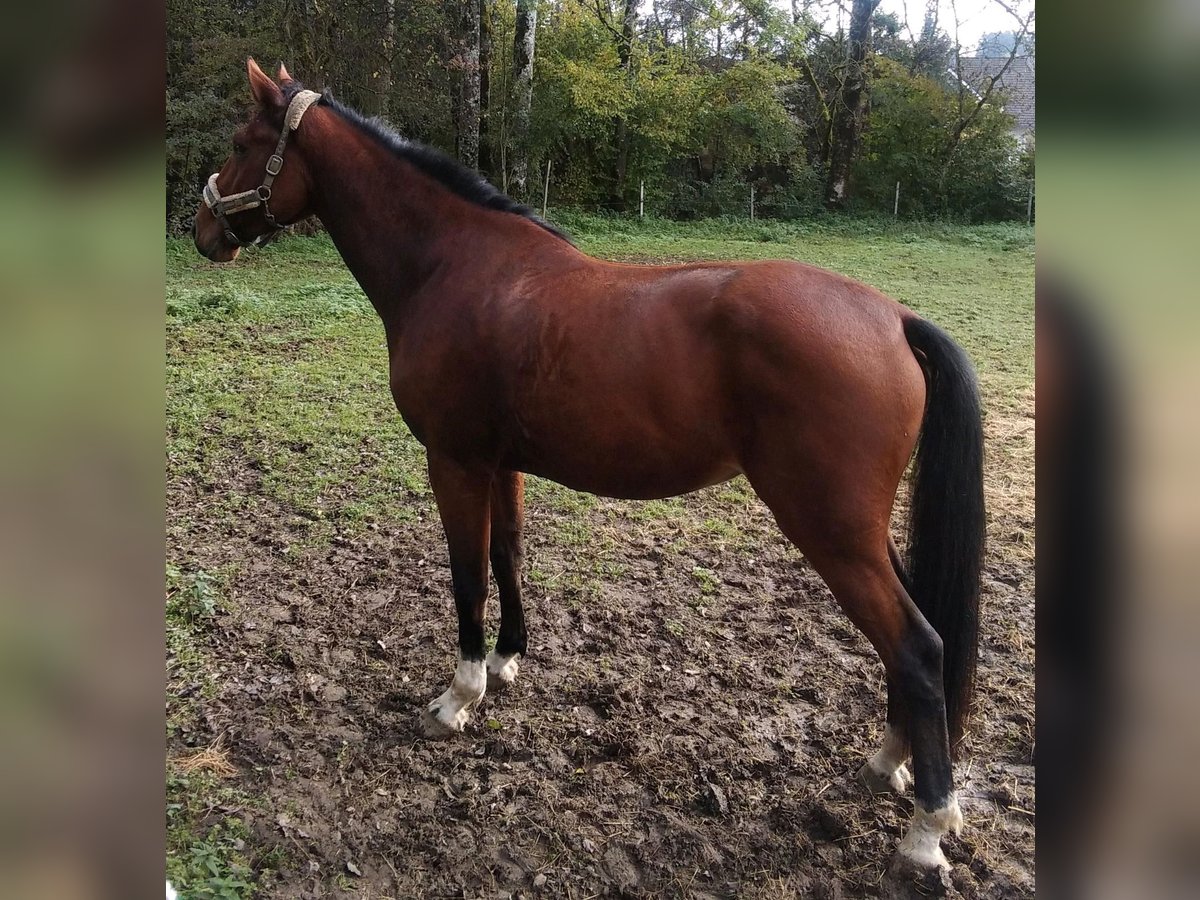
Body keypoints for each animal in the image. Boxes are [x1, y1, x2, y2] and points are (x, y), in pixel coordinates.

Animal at [194, 58, 984, 873]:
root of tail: (892, 318)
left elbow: (467, 575)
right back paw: (889, 762)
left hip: (831, 532)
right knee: (918, 637)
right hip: (858, 532)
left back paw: (927, 827)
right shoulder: (500, 465)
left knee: (917, 647)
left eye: (241, 142)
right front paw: (506, 662)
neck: (453, 263)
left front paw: (459, 697)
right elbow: (508, 556)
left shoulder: (454, 463)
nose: (201, 229)